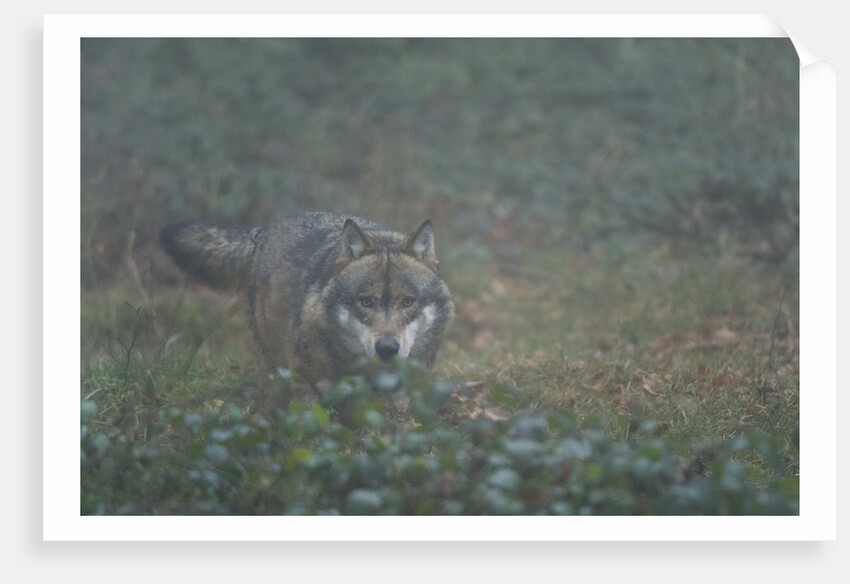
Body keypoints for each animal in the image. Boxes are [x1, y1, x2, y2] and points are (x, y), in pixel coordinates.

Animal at [161, 211, 454, 407]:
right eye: (366, 302)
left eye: (408, 302)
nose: (387, 349)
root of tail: (264, 231)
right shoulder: (308, 387)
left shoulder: (400, 394)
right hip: (271, 371)